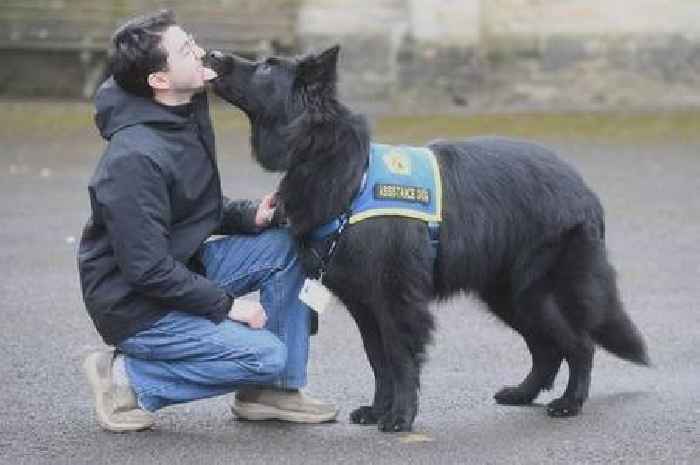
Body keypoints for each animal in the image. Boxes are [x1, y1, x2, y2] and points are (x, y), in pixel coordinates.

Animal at [205, 46, 648, 432]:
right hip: (509, 297)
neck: (339, 166)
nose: (212, 54)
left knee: (580, 344)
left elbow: (400, 359)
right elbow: (378, 359)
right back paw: (524, 393)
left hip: (537, 293)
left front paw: (400, 417)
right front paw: (378, 409)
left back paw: (570, 402)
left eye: (267, 67)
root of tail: (583, 188)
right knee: (547, 348)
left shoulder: (396, 301)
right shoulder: (365, 305)